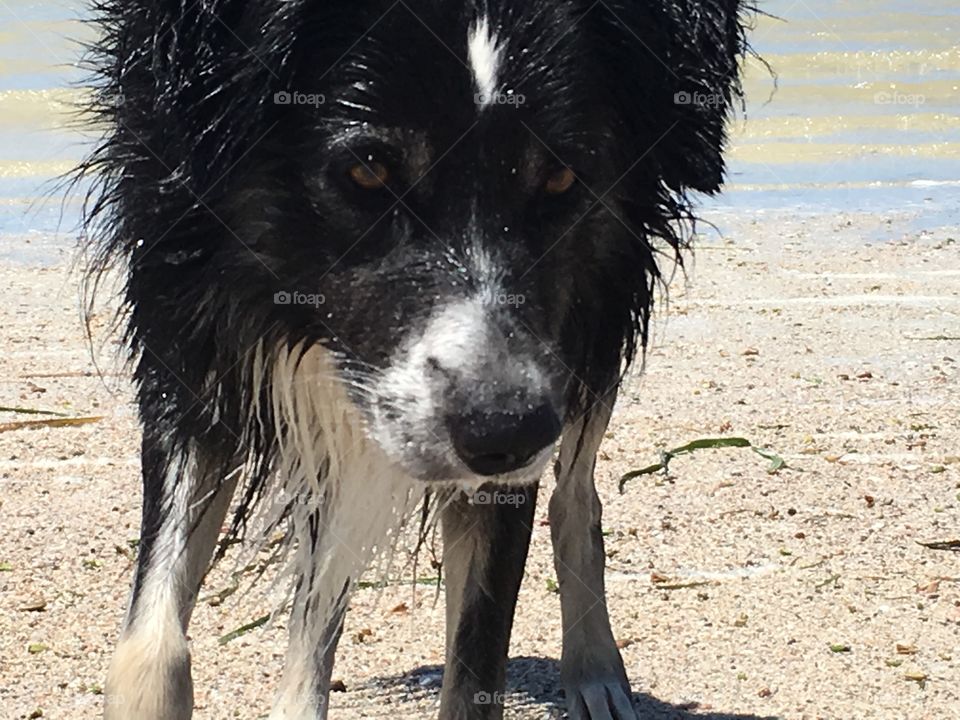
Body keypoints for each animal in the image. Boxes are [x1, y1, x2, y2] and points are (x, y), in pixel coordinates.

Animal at [77, 2, 752, 716]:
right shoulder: (189, 353)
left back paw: (594, 670)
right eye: (368, 172)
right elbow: (152, 648)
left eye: (562, 176)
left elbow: (475, 665)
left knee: (576, 499)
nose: (505, 433)